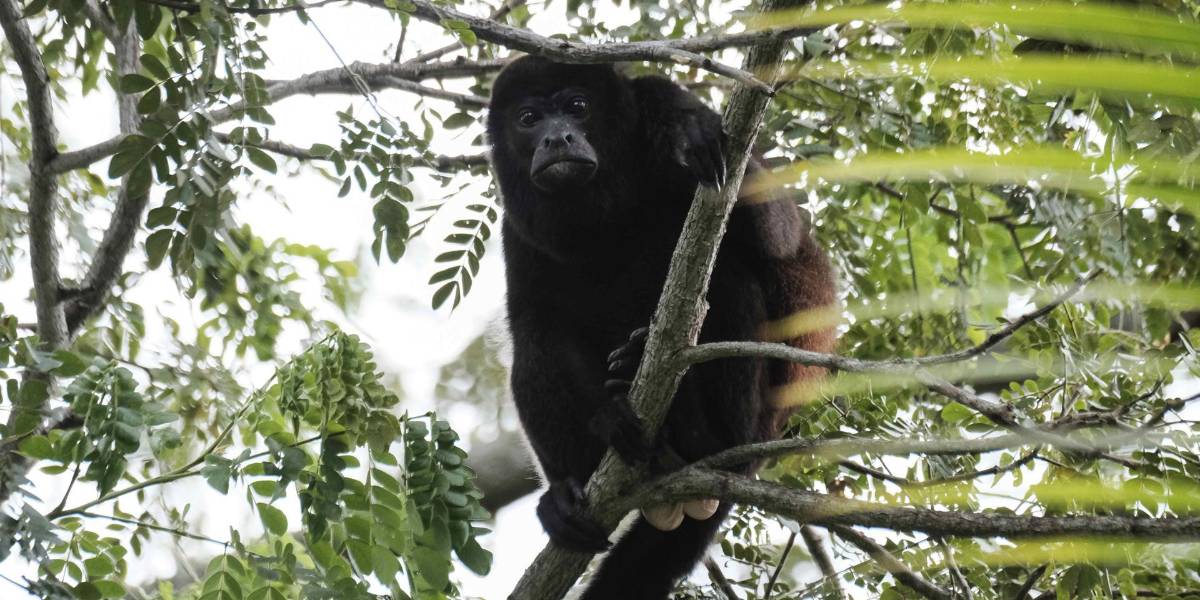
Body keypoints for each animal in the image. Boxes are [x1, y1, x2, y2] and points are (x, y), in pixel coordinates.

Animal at [486, 56, 837, 599]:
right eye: (528, 119)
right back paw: (569, 490)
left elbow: (778, 235)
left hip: (757, 421)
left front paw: (688, 129)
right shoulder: (517, 228)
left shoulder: (666, 108)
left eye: (577, 106)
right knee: (531, 347)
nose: (557, 138)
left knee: (732, 275)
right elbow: (539, 323)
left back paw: (698, 436)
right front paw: (608, 416)